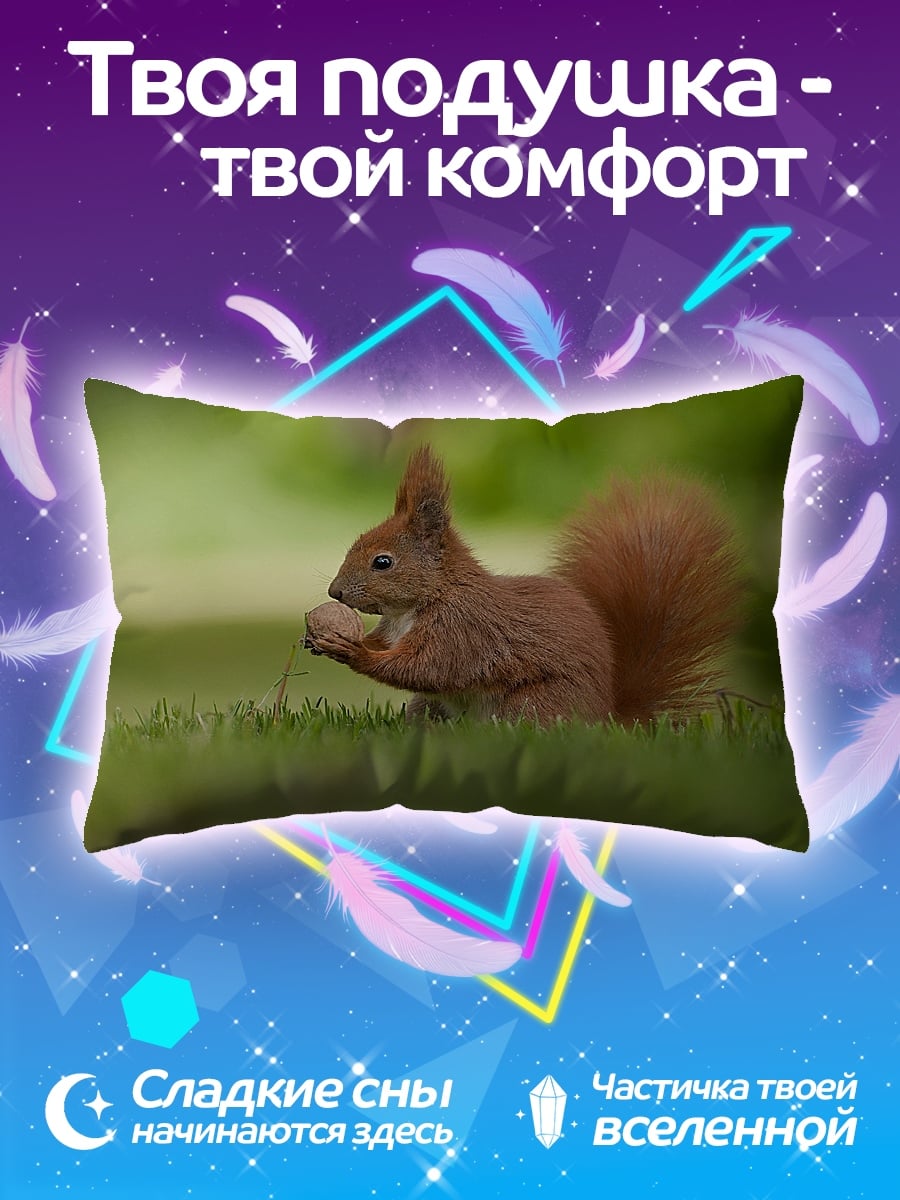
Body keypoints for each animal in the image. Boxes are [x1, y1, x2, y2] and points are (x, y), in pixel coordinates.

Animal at [305, 445, 743, 726]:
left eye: (383, 562)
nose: (334, 593)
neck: (415, 606)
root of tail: (608, 719)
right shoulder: (396, 629)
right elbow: (390, 649)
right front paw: (322, 639)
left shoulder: (463, 629)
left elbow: (425, 668)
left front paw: (352, 650)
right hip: (428, 709)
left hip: (532, 704)